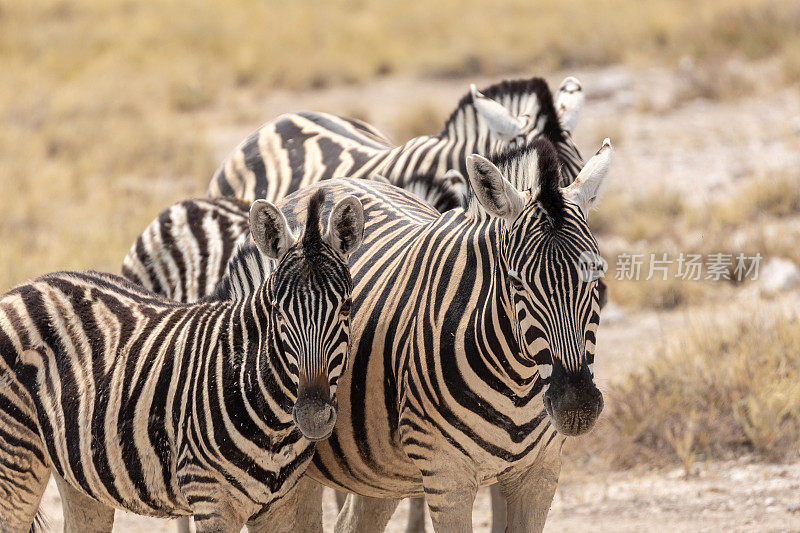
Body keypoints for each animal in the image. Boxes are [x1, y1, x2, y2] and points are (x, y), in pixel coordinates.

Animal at [0, 191, 366, 532]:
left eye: (347, 307)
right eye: (278, 311)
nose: (313, 416)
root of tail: (26, 285)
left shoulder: (283, 506)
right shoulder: (213, 500)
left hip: (77, 472)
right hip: (15, 462)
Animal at [209, 138, 608, 532]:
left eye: (597, 274)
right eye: (516, 282)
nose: (577, 406)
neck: (520, 386)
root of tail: (321, 186)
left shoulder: (539, 475)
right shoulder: (447, 476)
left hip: (378, 469)